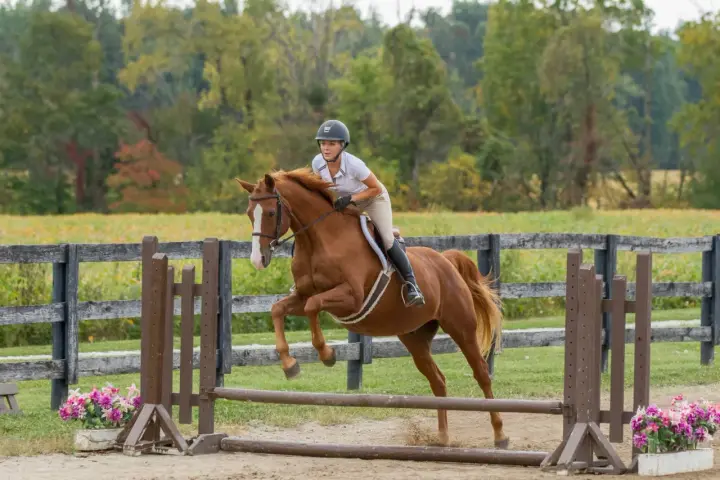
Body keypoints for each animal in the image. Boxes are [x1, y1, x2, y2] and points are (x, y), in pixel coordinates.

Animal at [234, 168, 508, 448]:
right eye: (249, 213)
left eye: (270, 213)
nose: (258, 260)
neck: (319, 240)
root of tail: (446, 260)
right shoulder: (301, 296)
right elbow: (279, 309)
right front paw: (290, 365)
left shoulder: (351, 297)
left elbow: (313, 306)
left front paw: (327, 354)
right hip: (415, 337)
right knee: (438, 381)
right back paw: (442, 437)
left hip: (461, 326)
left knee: (482, 374)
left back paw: (500, 435)